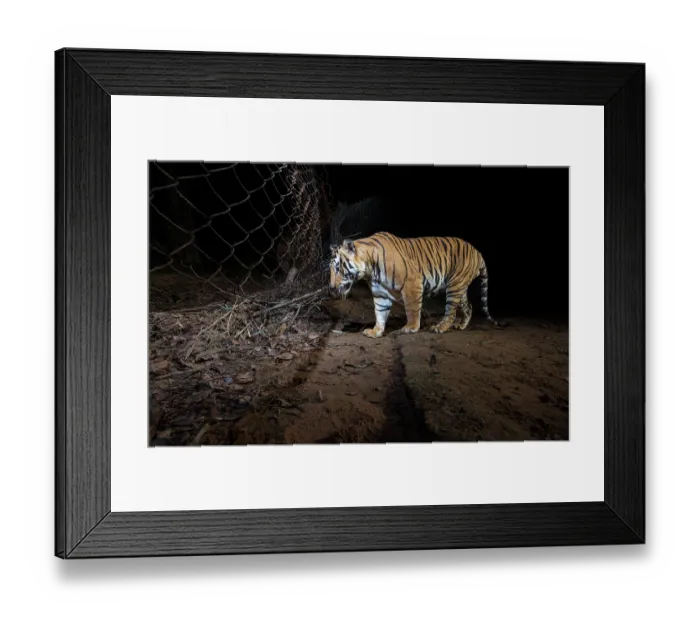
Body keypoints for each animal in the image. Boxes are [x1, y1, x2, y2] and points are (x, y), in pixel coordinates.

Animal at [328, 231, 505, 338]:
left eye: (337, 268)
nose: (331, 287)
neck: (370, 270)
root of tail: (477, 251)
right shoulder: (380, 293)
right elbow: (380, 312)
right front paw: (376, 331)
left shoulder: (412, 284)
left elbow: (412, 309)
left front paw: (411, 327)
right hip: (460, 287)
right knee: (469, 306)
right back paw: (461, 325)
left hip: (454, 287)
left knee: (450, 311)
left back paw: (440, 327)